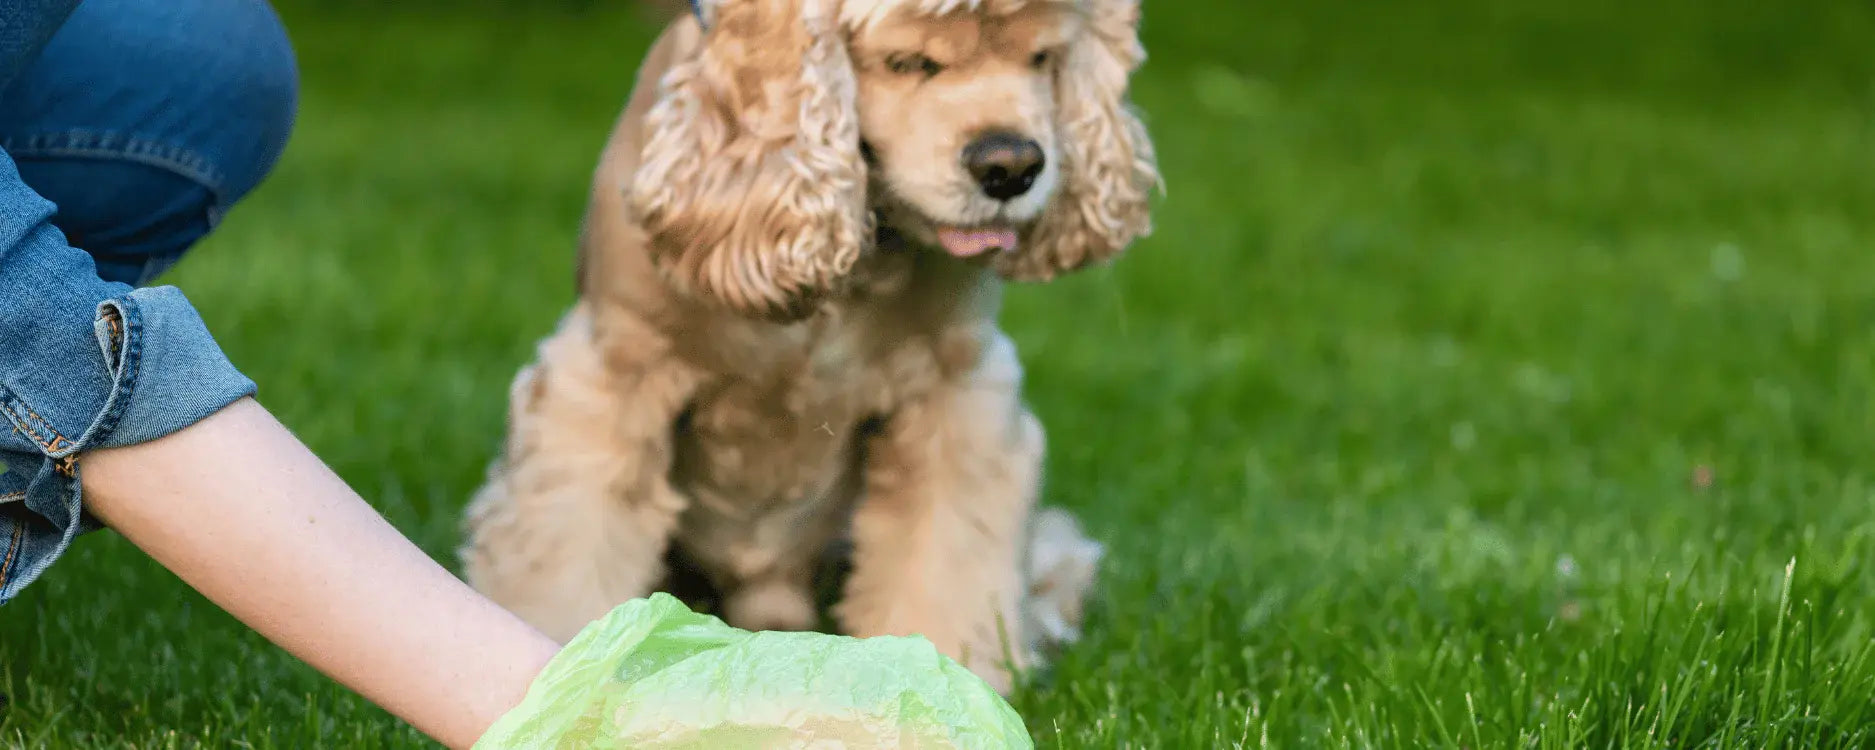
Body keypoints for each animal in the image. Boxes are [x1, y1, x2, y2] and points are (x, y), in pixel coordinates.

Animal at [457, 0, 1155, 693]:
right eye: (907, 61)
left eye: (1043, 57)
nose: (1011, 167)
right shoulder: (612, 374)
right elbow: (566, 555)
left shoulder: (957, 397)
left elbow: (945, 560)